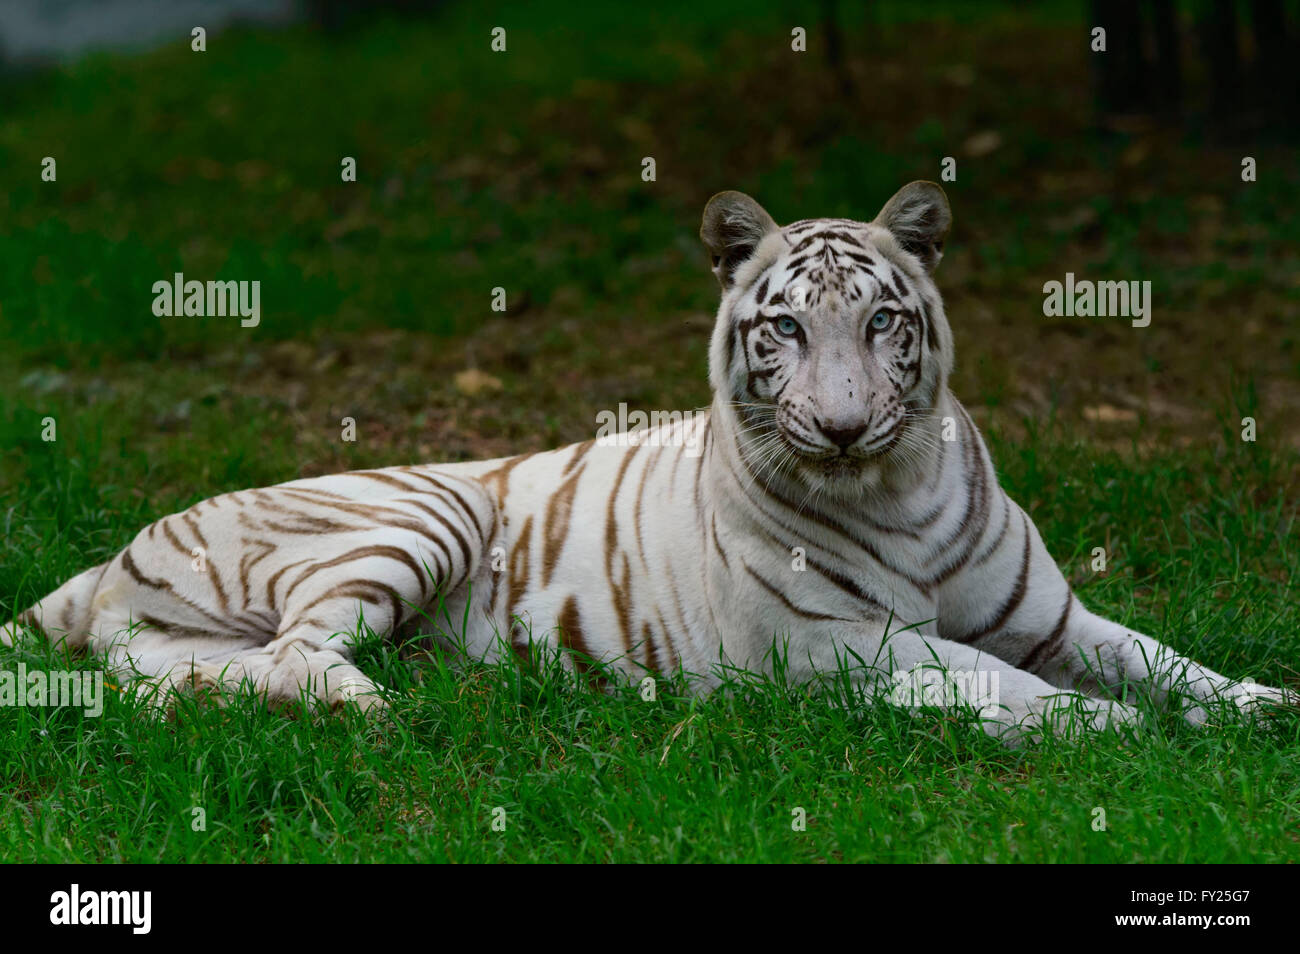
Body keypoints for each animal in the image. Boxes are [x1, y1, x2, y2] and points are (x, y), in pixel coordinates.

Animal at [5, 183, 1289, 743]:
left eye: (883, 322)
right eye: (784, 330)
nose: (839, 429)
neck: (899, 485)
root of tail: (111, 556)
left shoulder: (1053, 617)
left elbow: (1164, 660)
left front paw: (1258, 705)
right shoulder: (843, 650)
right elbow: (1006, 689)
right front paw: (1111, 733)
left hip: (178, 652)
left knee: (200, 679)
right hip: (422, 511)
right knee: (295, 656)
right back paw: (392, 708)